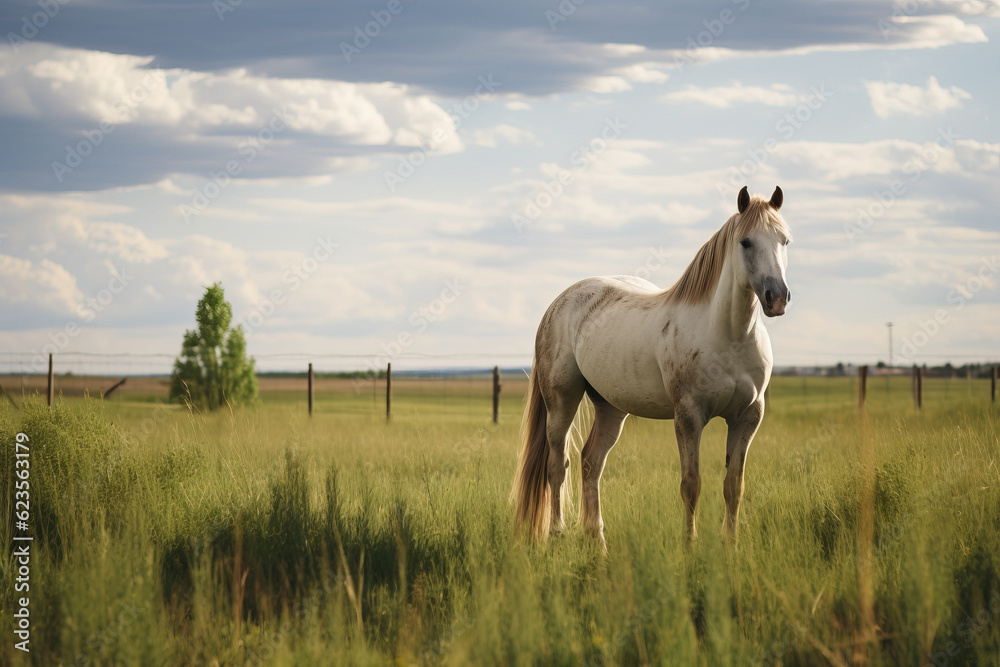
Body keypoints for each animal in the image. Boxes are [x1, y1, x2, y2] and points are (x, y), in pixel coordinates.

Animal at [516, 187, 788, 548]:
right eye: (746, 242)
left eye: (784, 240)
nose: (777, 297)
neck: (730, 336)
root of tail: (558, 302)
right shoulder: (688, 416)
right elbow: (691, 484)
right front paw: (689, 547)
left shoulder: (748, 417)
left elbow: (733, 486)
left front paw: (730, 546)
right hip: (561, 401)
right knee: (557, 464)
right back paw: (558, 533)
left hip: (611, 407)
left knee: (591, 463)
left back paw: (597, 542)